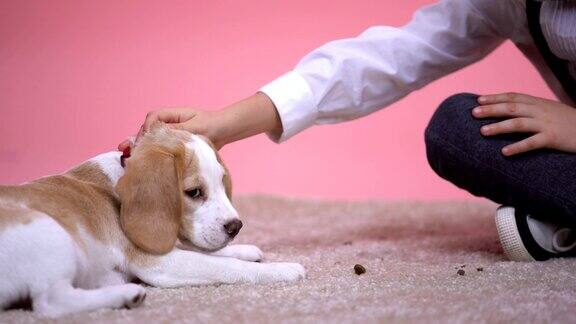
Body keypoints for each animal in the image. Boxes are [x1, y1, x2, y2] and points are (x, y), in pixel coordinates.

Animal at [0, 123, 306, 316]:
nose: (236, 227)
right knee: (51, 302)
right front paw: (281, 269)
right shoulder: (157, 262)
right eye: (194, 192)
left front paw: (244, 250)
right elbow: (223, 266)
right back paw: (126, 294)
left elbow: (208, 252)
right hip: (49, 230)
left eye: (222, 182)